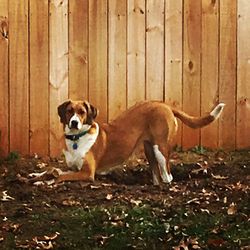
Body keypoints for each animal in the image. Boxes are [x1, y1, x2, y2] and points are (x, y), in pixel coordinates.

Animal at [56, 100, 225, 185]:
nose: (74, 123)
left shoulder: (88, 173)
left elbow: (60, 176)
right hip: (149, 150)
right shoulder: (73, 168)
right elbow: (61, 172)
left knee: (168, 176)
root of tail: (164, 104)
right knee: (157, 175)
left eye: (82, 112)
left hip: (160, 148)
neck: (77, 138)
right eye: (69, 111)